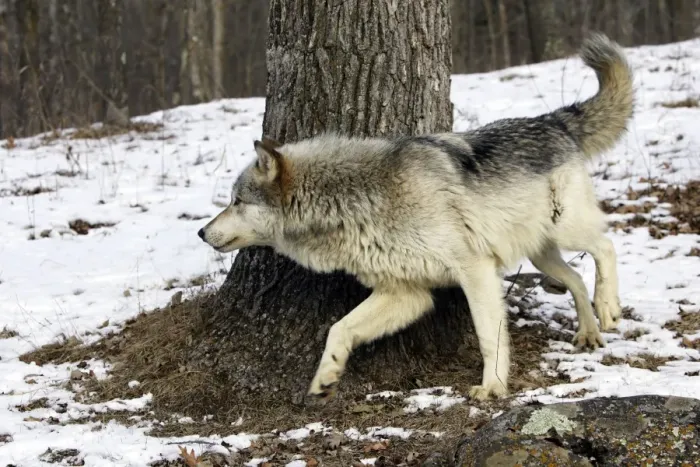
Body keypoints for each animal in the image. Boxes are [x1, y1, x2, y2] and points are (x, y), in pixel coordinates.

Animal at [198, 33, 634, 401]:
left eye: (236, 201)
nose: (201, 232)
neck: (358, 201)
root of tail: (553, 121)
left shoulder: (474, 269)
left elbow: (488, 336)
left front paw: (492, 387)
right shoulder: (406, 293)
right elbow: (339, 328)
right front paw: (326, 376)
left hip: (566, 230)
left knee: (606, 246)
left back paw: (609, 308)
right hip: (542, 252)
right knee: (576, 277)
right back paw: (589, 333)